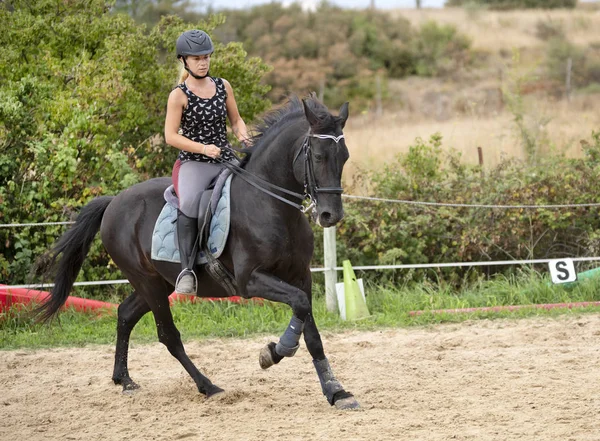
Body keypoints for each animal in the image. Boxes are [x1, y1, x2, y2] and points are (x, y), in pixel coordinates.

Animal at [34, 93, 360, 410]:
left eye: (344, 157)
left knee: (125, 314)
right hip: (148, 283)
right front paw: (274, 352)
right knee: (168, 336)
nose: (331, 215)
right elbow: (299, 308)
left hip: (158, 282)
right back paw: (208, 386)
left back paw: (124, 379)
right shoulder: (251, 280)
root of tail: (113, 202)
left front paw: (336, 391)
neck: (271, 205)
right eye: (317, 156)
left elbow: (311, 329)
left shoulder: (300, 276)